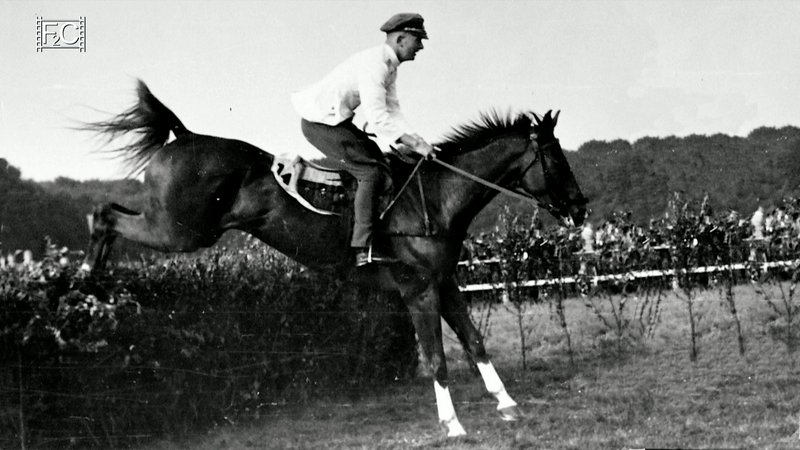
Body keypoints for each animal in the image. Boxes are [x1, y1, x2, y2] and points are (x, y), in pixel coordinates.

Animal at [82, 80, 588, 437]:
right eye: (558, 161)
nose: (581, 208)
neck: (436, 199)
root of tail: (185, 136)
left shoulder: (444, 282)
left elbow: (475, 342)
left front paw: (507, 404)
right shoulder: (419, 290)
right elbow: (437, 358)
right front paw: (454, 424)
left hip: (177, 227)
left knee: (108, 213)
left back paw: (92, 284)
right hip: (180, 230)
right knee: (104, 215)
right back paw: (87, 281)